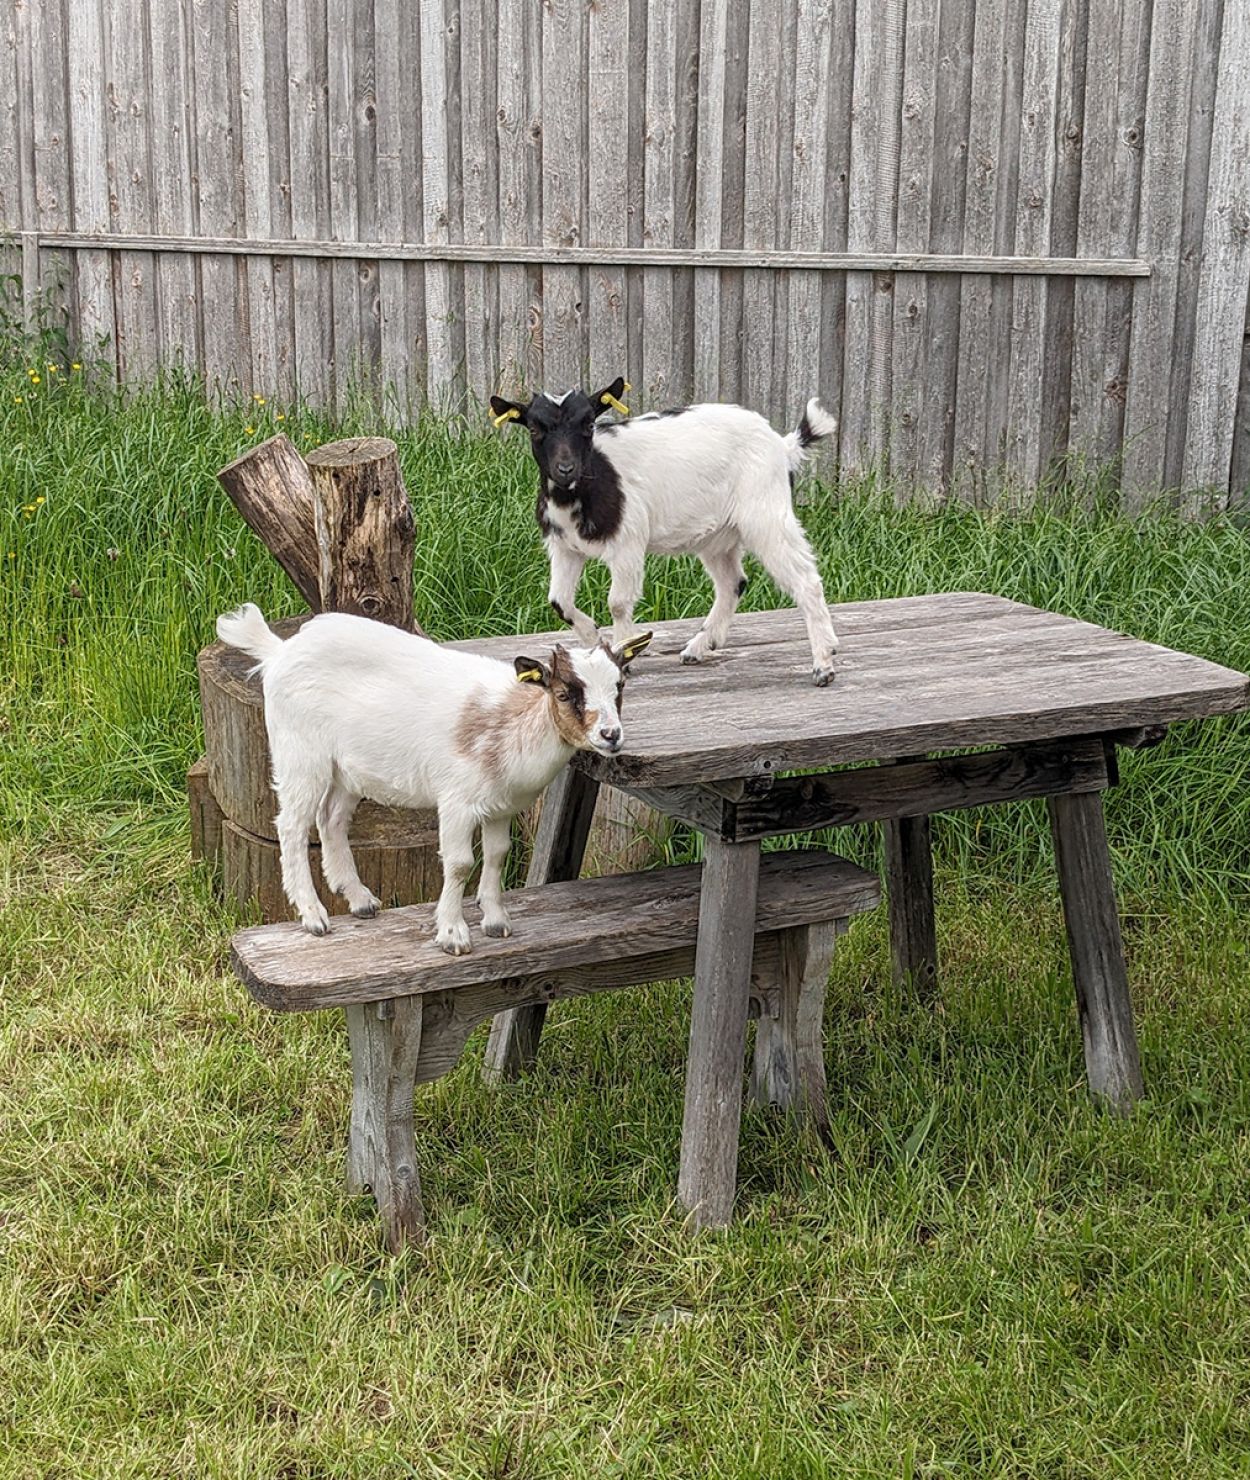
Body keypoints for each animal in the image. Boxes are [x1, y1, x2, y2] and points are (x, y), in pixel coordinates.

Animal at [216, 604, 651, 951]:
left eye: (619, 685)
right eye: (563, 693)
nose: (611, 735)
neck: (510, 722)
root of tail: (278, 651)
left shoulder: (501, 806)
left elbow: (497, 854)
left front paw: (496, 920)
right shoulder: (457, 801)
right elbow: (459, 863)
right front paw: (453, 934)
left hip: (348, 769)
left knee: (331, 819)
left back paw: (359, 899)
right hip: (300, 753)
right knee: (291, 825)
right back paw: (313, 915)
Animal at [489, 378, 840, 685]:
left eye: (588, 424)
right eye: (535, 428)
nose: (565, 469)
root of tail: (782, 445)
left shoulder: (628, 542)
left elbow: (618, 603)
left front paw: (620, 656)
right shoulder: (564, 547)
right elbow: (559, 601)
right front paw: (593, 639)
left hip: (765, 512)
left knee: (805, 580)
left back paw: (823, 664)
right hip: (718, 534)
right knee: (733, 583)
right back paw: (699, 647)